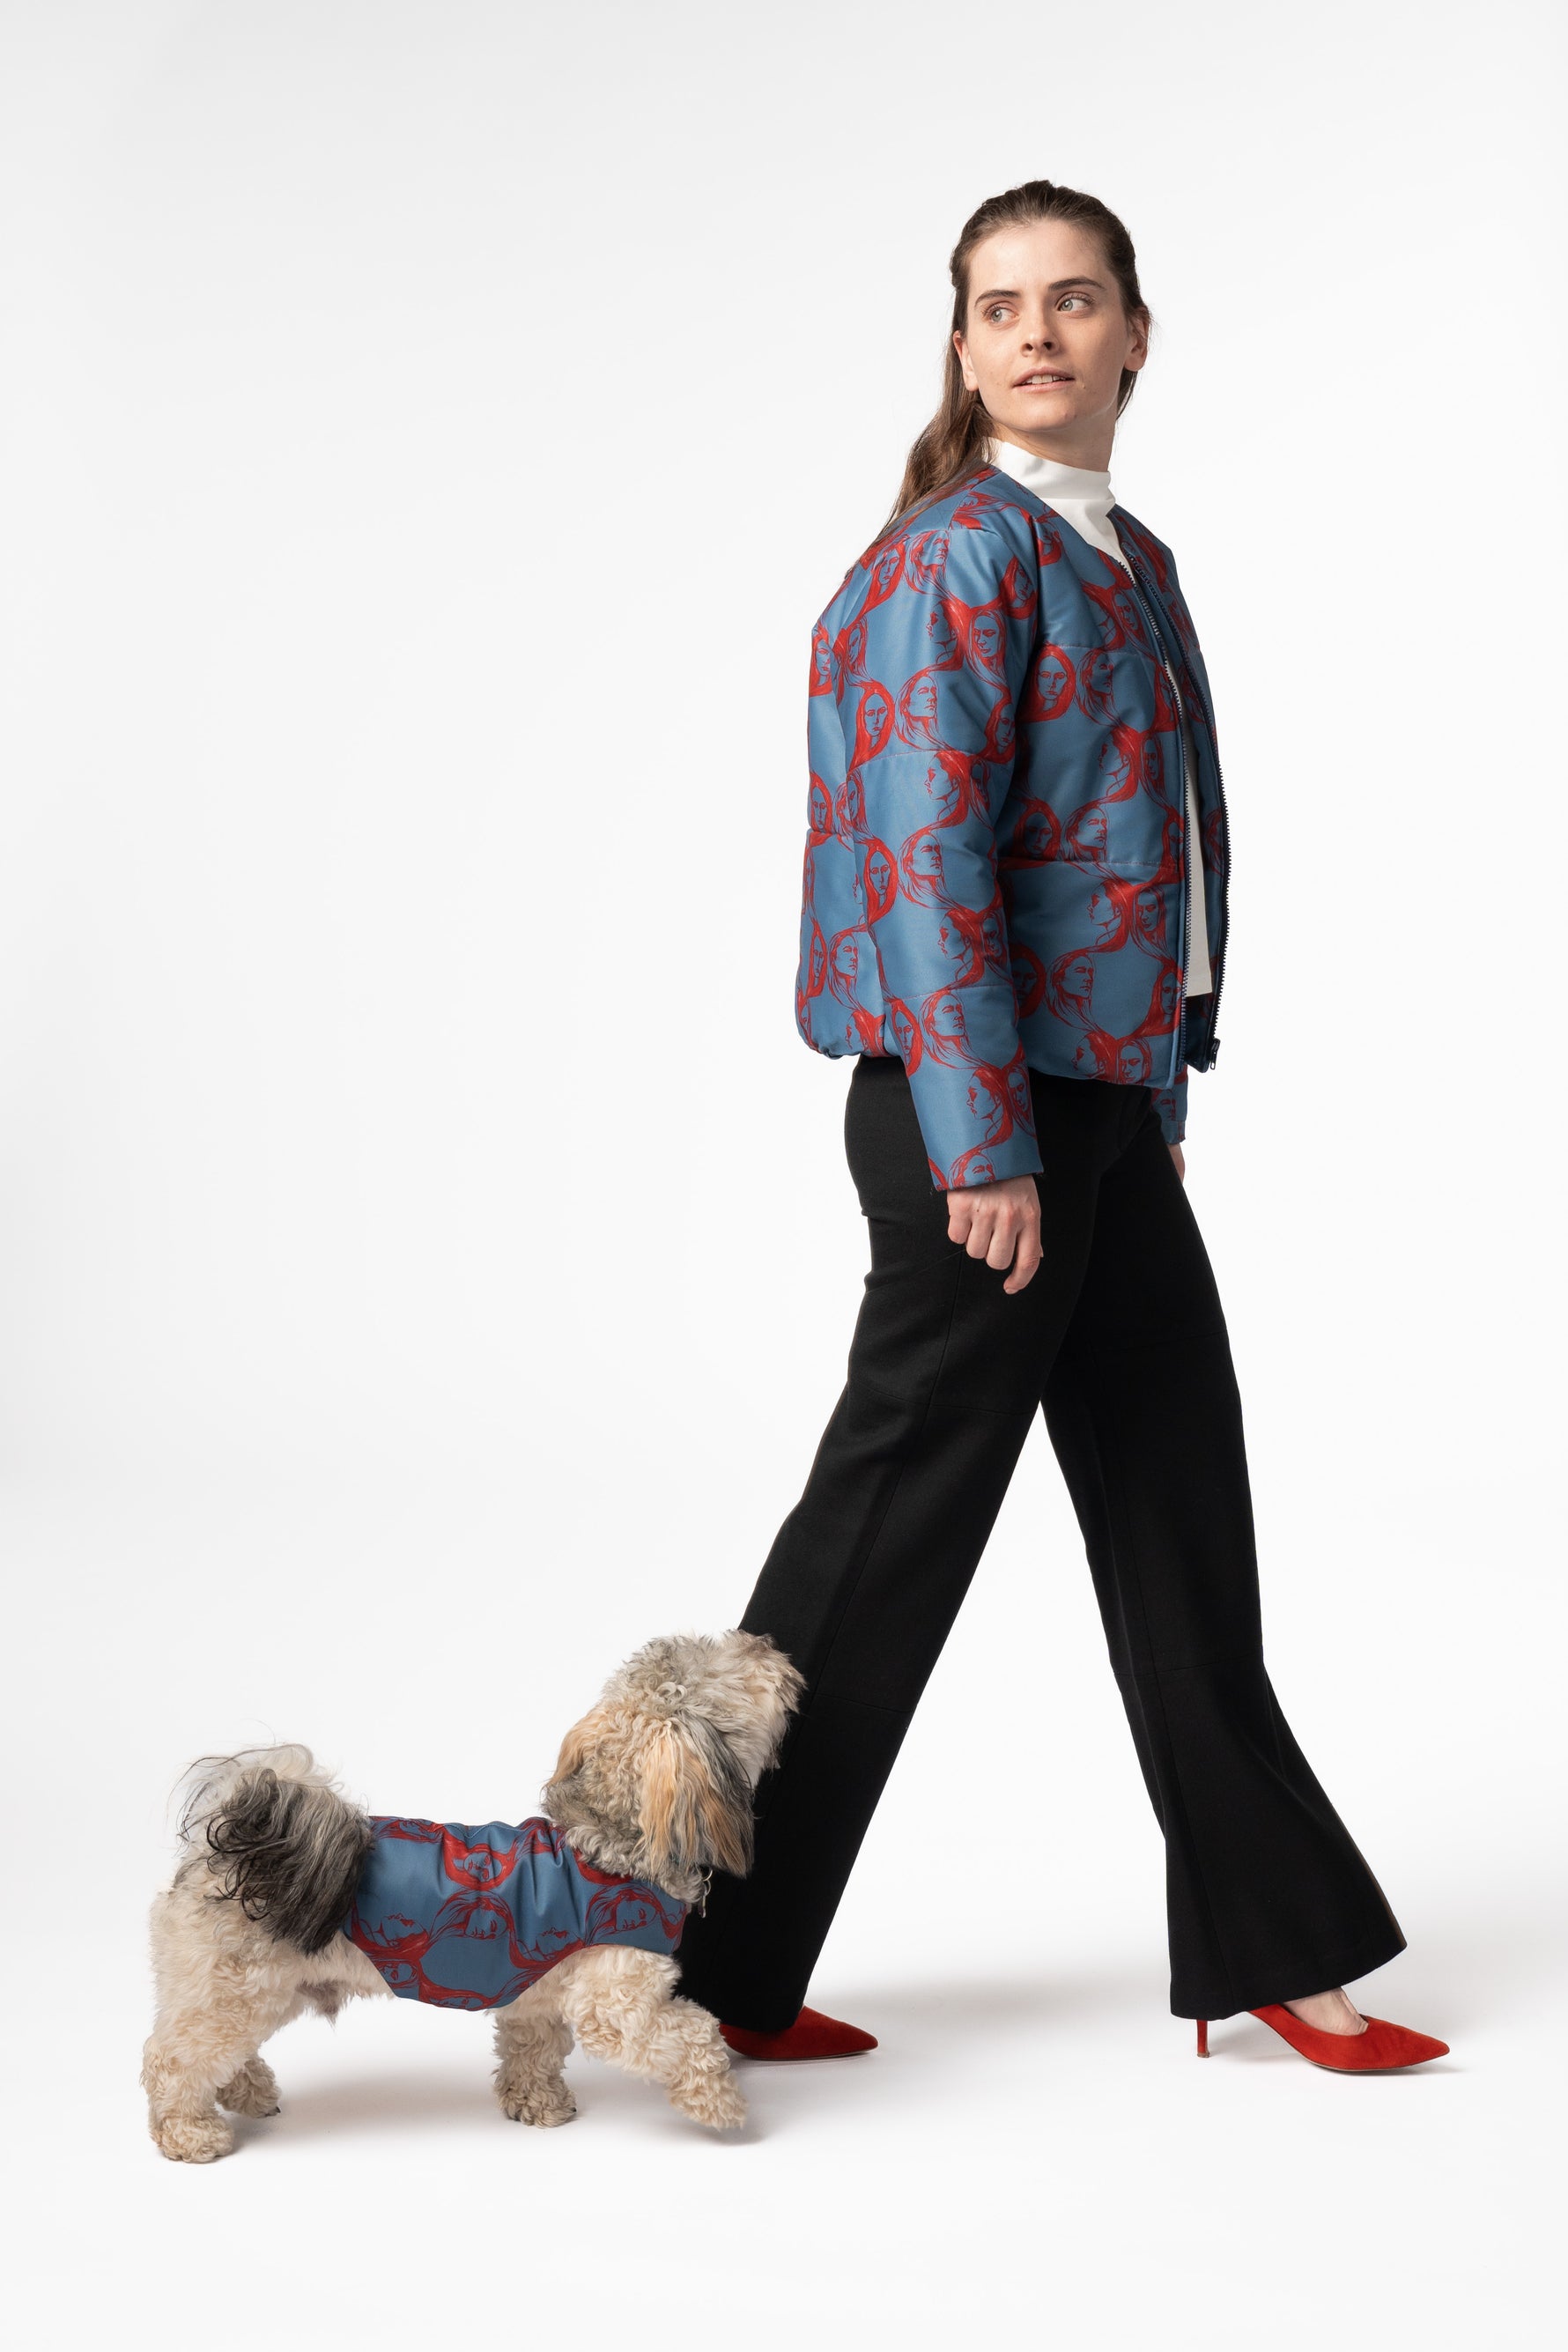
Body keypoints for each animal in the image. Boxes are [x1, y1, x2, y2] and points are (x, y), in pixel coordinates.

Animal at [141, 1629, 803, 2160]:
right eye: (732, 1668)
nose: (767, 1642)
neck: (610, 1843)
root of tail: (232, 1844)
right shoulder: (617, 2007)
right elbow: (695, 2037)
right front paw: (722, 2105)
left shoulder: (537, 1995)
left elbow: (533, 2051)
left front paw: (536, 2104)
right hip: (230, 1995)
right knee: (169, 2060)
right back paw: (188, 2133)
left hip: (253, 1993)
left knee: (211, 2053)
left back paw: (246, 2091)